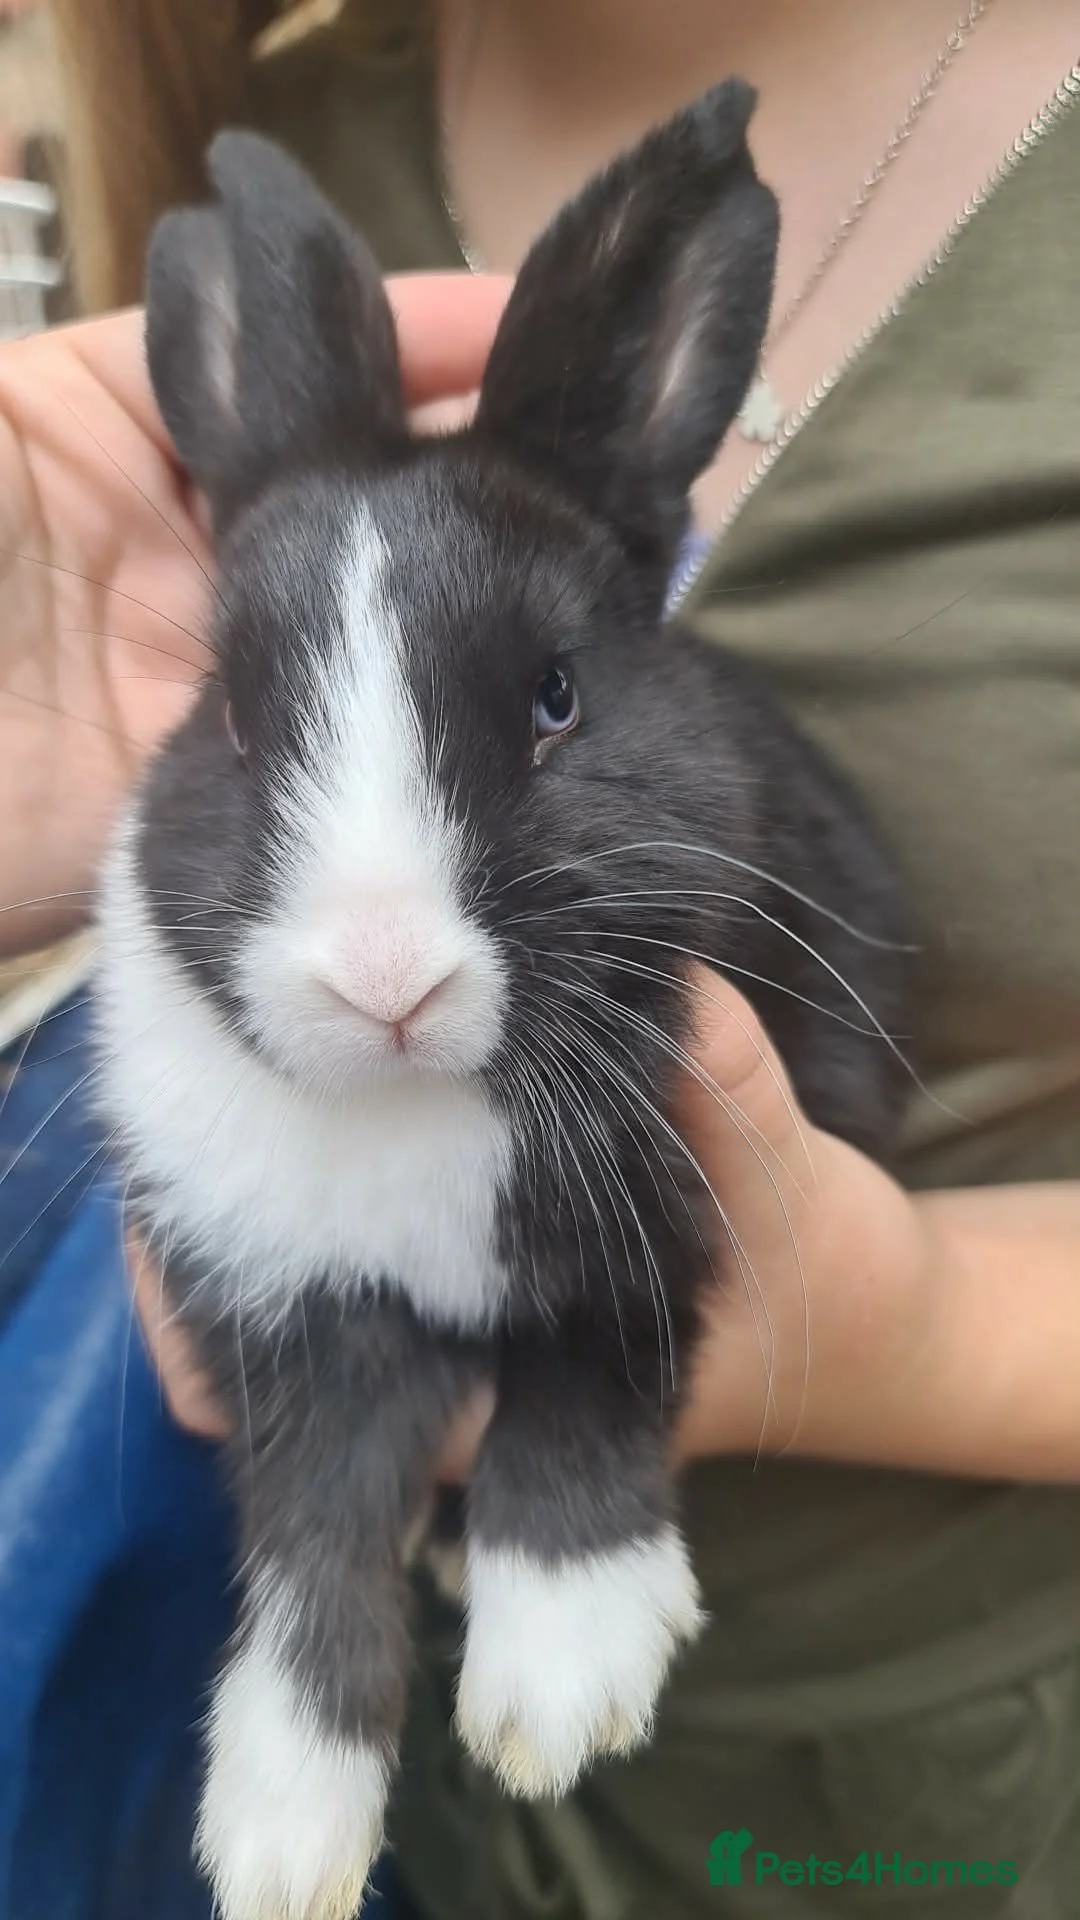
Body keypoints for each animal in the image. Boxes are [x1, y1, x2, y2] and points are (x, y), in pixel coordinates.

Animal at [93, 78, 913, 1920]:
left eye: (556, 698)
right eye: (234, 719)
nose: (384, 976)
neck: (420, 1115)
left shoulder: (677, 1219)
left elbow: (585, 1382)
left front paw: (562, 1673)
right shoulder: (291, 1321)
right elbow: (317, 1527)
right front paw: (283, 1830)